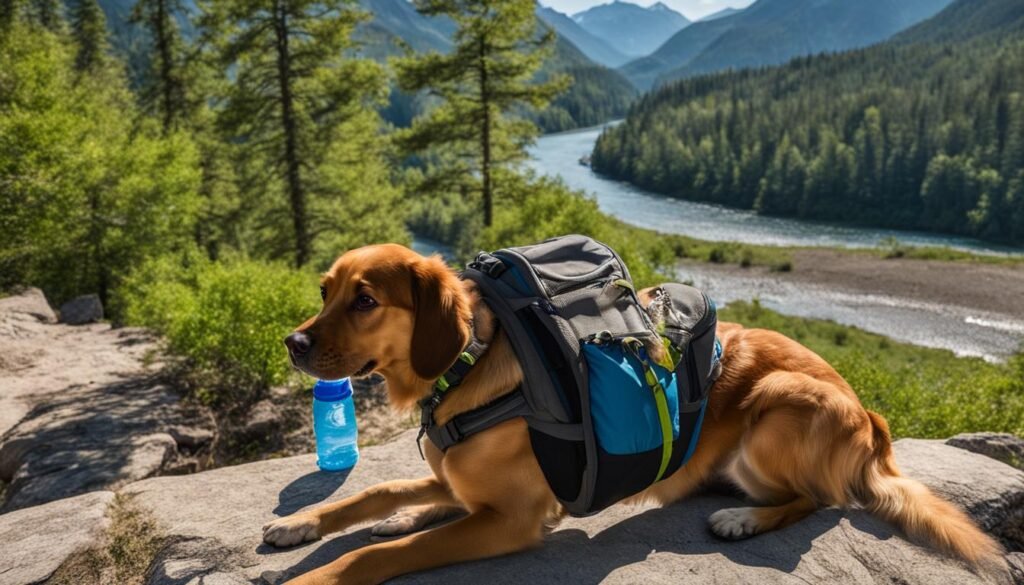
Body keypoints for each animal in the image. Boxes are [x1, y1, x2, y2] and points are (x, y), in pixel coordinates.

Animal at [266, 243, 1007, 585]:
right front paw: (303, 524)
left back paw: (742, 518)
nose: (292, 343)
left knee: (821, 497)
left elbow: (386, 551)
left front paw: (322, 571)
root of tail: (871, 416)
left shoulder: (511, 518)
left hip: (779, 406)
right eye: (325, 291)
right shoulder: (460, 483)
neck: (468, 366)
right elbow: (380, 491)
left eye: (365, 300)